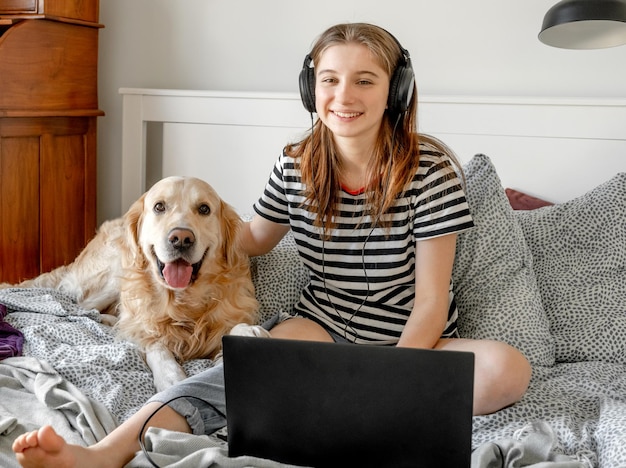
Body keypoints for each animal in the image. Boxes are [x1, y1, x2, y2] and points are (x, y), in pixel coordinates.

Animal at [0, 176, 258, 392]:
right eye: (159, 207)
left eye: (204, 209)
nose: (181, 239)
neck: (182, 301)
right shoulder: (143, 326)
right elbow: (155, 345)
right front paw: (171, 375)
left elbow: (237, 327)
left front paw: (250, 331)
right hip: (114, 273)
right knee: (77, 306)